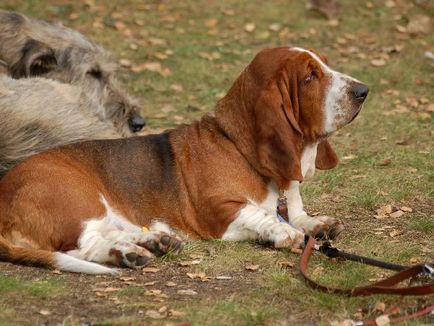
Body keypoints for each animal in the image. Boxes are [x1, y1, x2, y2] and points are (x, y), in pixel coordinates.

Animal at [0, 47, 368, 274]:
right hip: (81, 200)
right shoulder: (219, 214)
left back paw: (151, 242)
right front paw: (282, 231)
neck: (237, 146)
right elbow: (261, 215)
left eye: (325, 63)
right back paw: (130, 253)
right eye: (309, 77)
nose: (363, 90)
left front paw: (316, 224)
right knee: (80, 247)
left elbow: (295, 213)